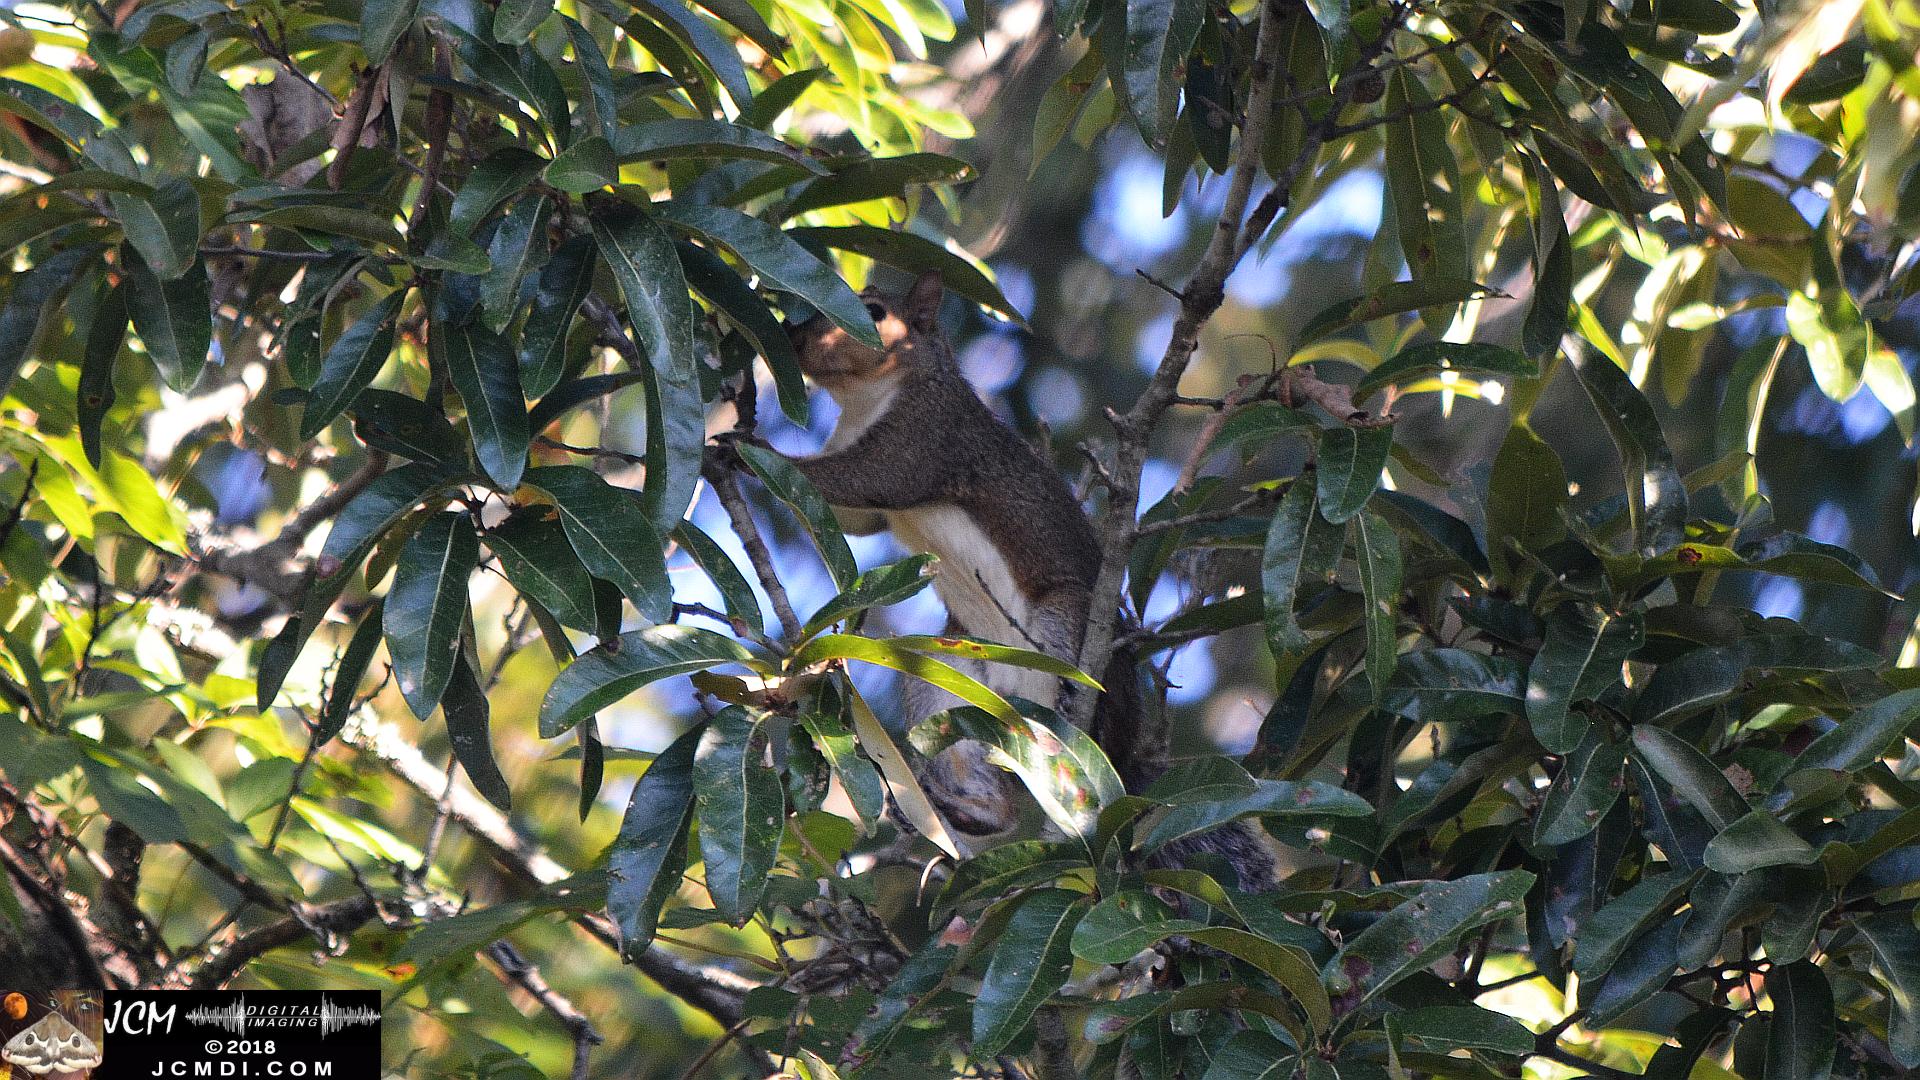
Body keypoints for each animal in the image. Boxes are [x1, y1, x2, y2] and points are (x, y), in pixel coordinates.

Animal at [784, 271, 1279, 890]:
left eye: (873, 311)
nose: (795, 339)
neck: (863, 398)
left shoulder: (928, 436)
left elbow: (870, 477)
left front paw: (736, 447)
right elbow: (853, 516)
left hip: (1064, 623)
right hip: (948, 678)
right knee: (998, 800)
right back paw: (958, 808)